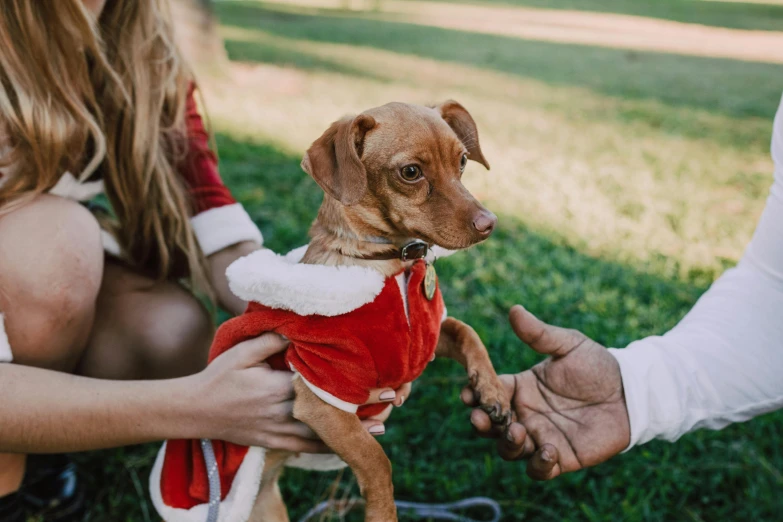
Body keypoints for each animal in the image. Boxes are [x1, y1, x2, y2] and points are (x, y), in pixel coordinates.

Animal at [248, 99, 512, 516]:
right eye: (411, 172)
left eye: (463, 161)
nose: (490, 223)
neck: (394, 265)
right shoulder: (321, 395)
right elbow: (376, 459)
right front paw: (383, 513)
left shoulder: (428, 337)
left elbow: (467, 331)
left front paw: (494, 391)